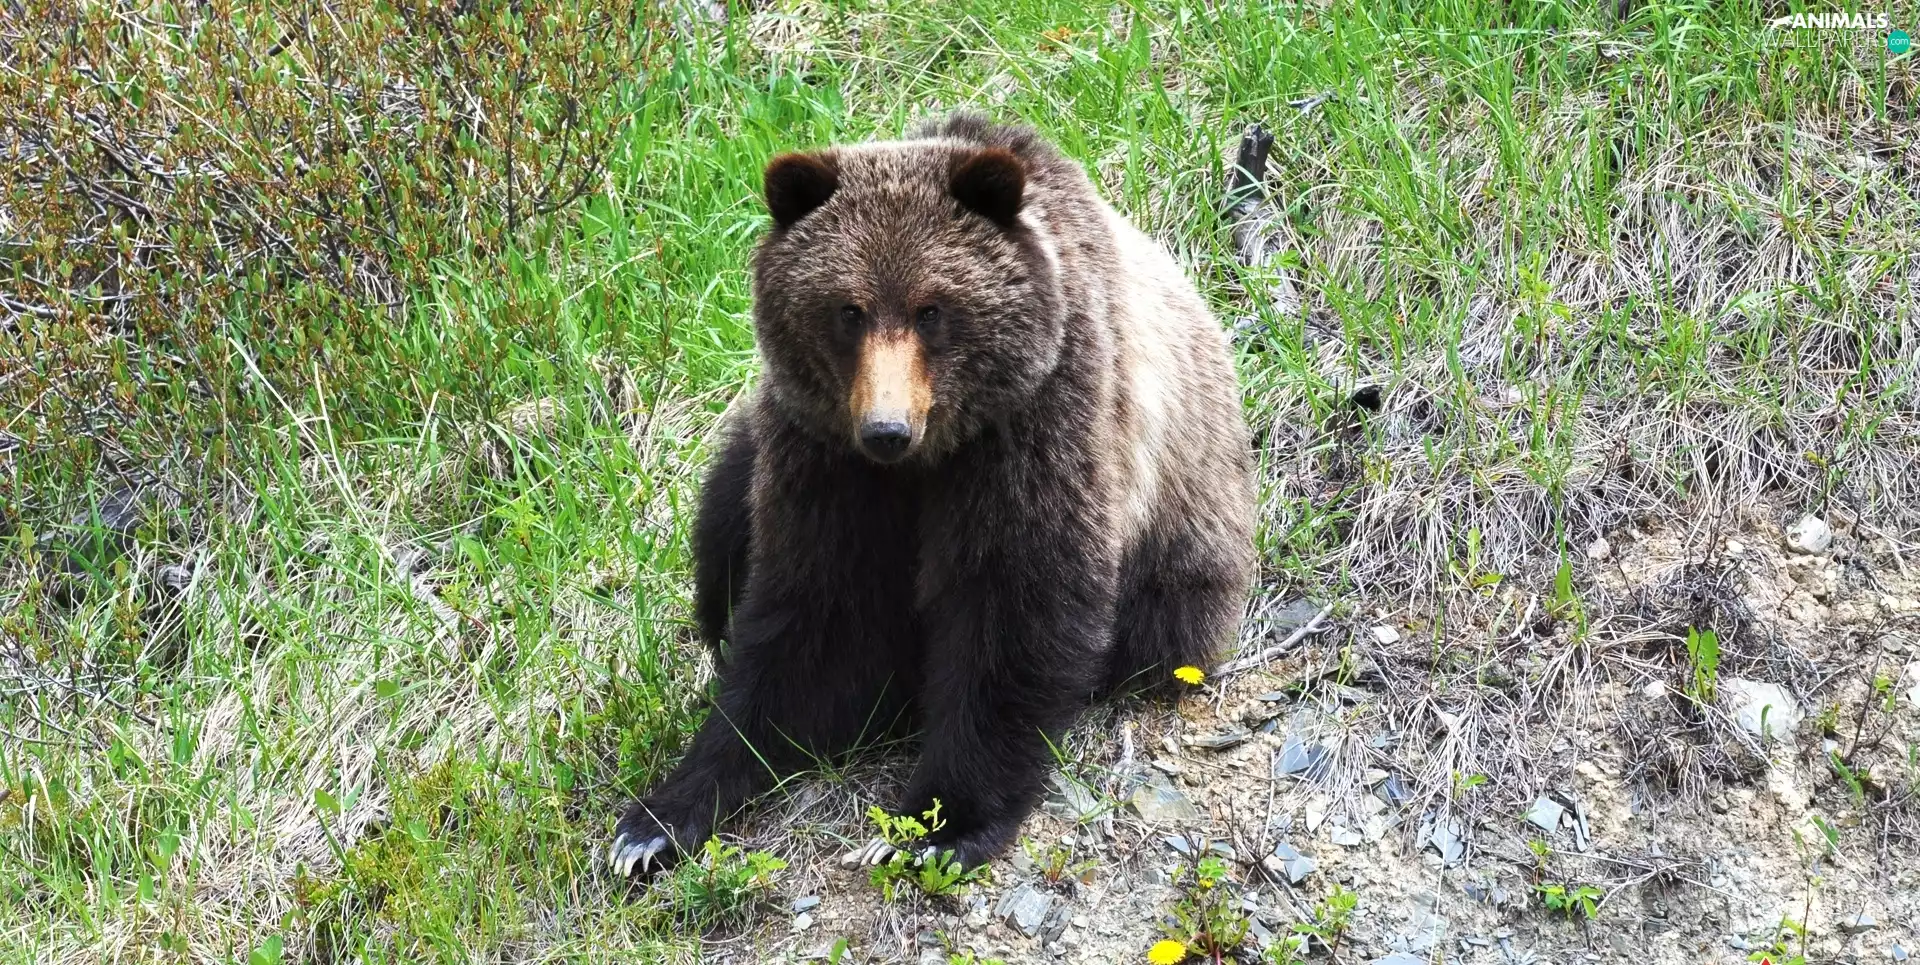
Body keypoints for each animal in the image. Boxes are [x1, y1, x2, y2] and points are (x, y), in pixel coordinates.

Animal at [609, 113, 1255, 877]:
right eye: (848, 310)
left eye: (932, 308)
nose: (887, 427)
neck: (930, 457)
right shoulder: (829, 459)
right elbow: (814, 617)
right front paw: (657, 821)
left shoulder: (1036, 426)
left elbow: (1013, 604)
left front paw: (938, 824)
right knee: (720, 531)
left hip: (1180, 552)